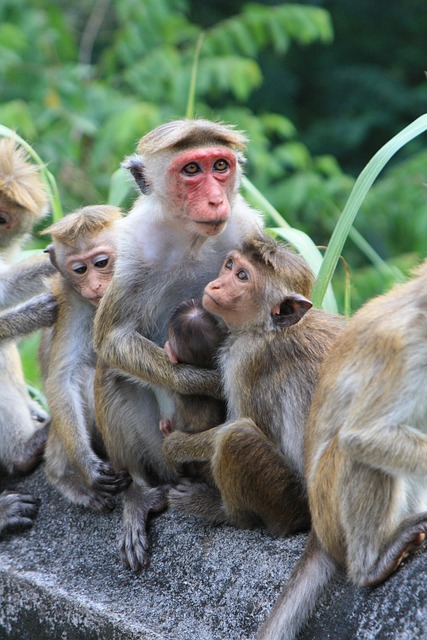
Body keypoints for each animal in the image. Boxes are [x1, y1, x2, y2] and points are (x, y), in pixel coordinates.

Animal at [257, 261, 427, 640]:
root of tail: (318, 533)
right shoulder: (408, 351)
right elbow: (364, 435)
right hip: (331, 510)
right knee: (354, 451)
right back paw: (369, 565)